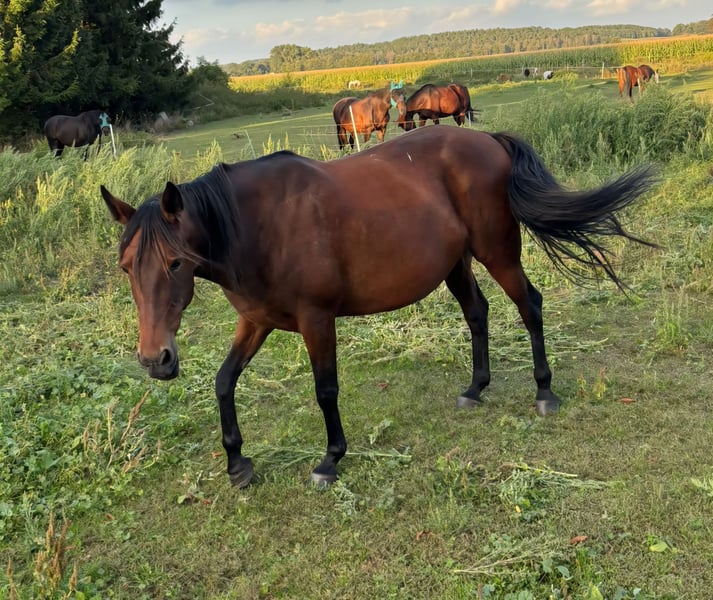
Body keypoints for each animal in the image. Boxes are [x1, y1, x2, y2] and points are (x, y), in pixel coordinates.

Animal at [101, 124, 657, 488]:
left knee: (530, 307)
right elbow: (223, 381)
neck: (255, 225)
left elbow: (325, 390)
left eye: (175, 262)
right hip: (455, 264)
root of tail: (487, 139)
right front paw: (238, 464)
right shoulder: (255, 321)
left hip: (498, 252)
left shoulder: (316, 320)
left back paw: (544, 392)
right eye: (126, 267)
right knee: (477, 313)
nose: (155, 359)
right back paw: (475, 389)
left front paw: (330, 459)